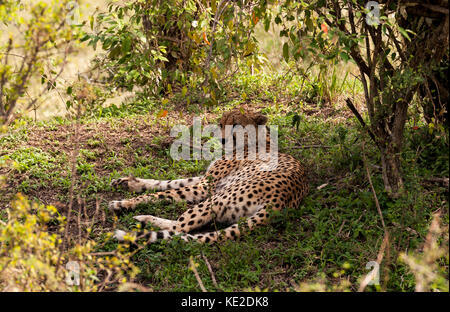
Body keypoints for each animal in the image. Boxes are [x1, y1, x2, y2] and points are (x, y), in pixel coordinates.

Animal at [109, 109, 310, 244]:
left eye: (236, 125)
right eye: (221, 124)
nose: (222, 140)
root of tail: (280, 203)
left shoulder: (205, 186)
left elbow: (163, 193)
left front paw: (123, 203)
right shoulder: (204, 180)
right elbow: (168, 183)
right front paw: (129, 183)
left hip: (216, 198)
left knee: (178, 228)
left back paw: (143, 221)